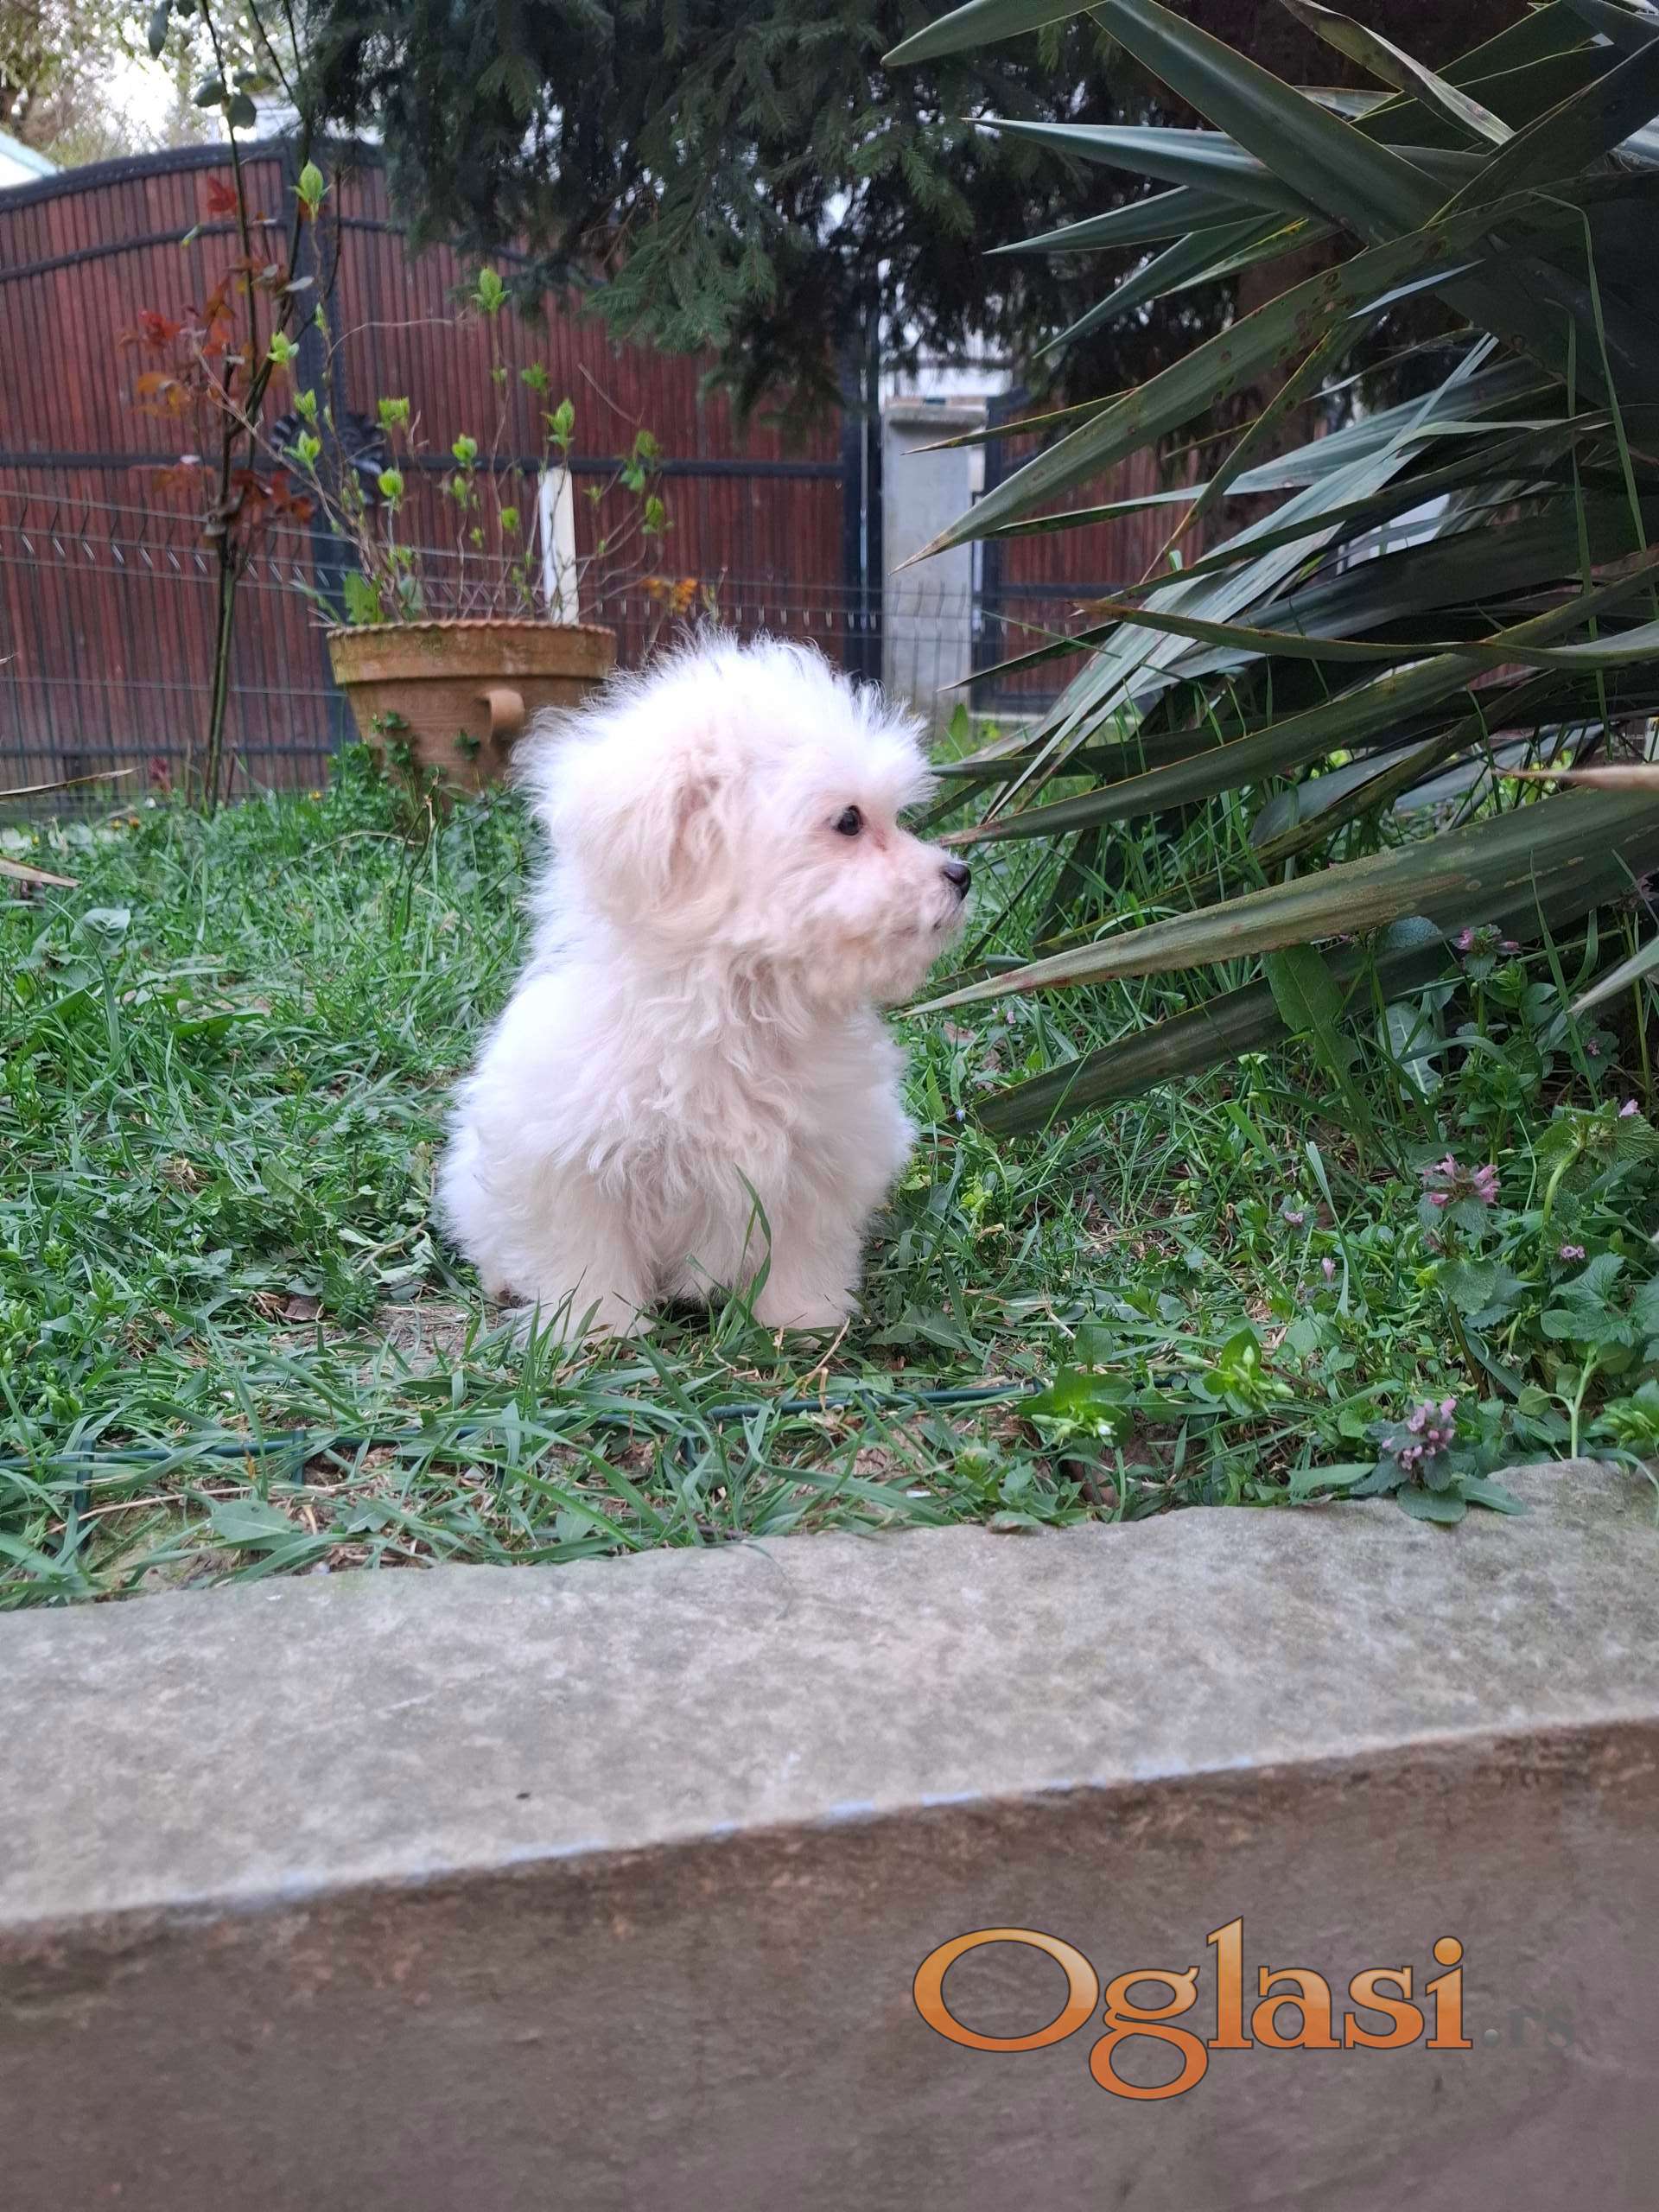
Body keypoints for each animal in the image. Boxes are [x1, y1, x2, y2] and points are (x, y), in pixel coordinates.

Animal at [437, 636, 971, 1336]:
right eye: (850, 821)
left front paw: (803, 1317)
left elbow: (804, 1244)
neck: (738, 1005)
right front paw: (599, 1326)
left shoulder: (823, 1157)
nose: (959, 874)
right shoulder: (570, 1159)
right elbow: (588, 1249)